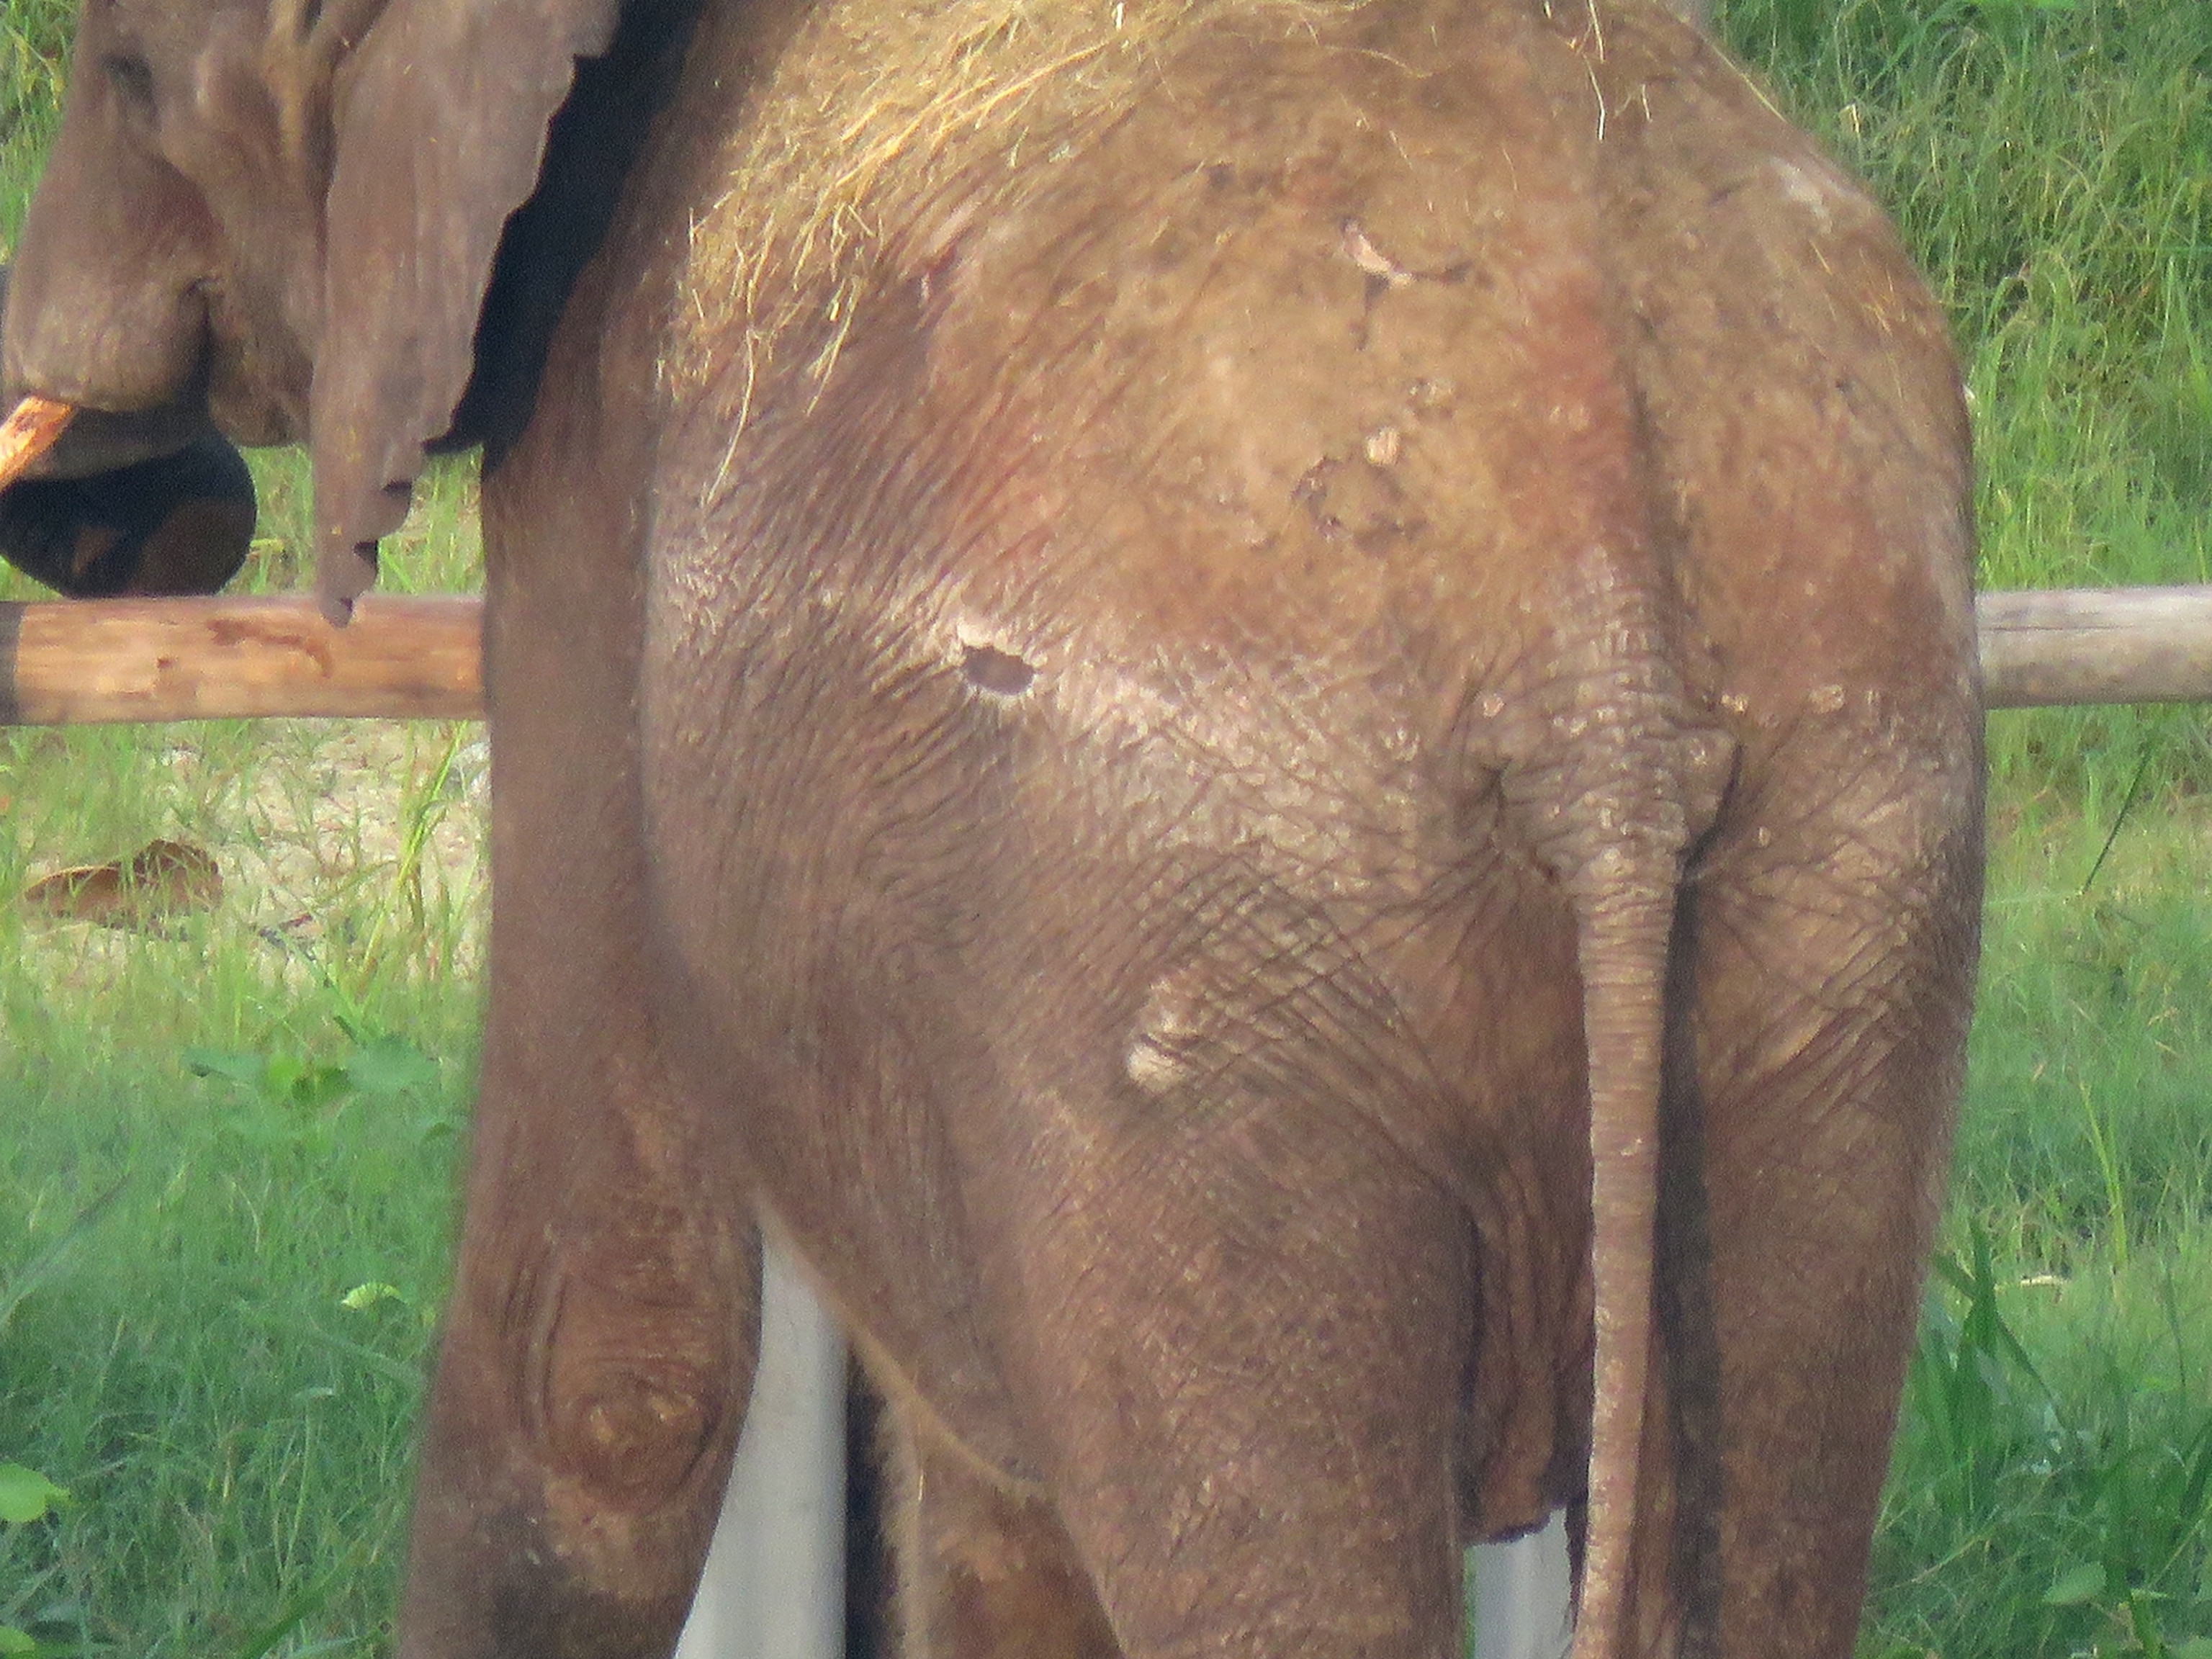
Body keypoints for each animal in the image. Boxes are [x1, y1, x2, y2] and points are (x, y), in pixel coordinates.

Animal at [0, 0, 1984, 1655]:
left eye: (126, 77)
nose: (120, 506)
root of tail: (1602, 664)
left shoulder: (588, 476)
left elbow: (607, 1345)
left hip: (1204, 947)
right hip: (1846, 853)